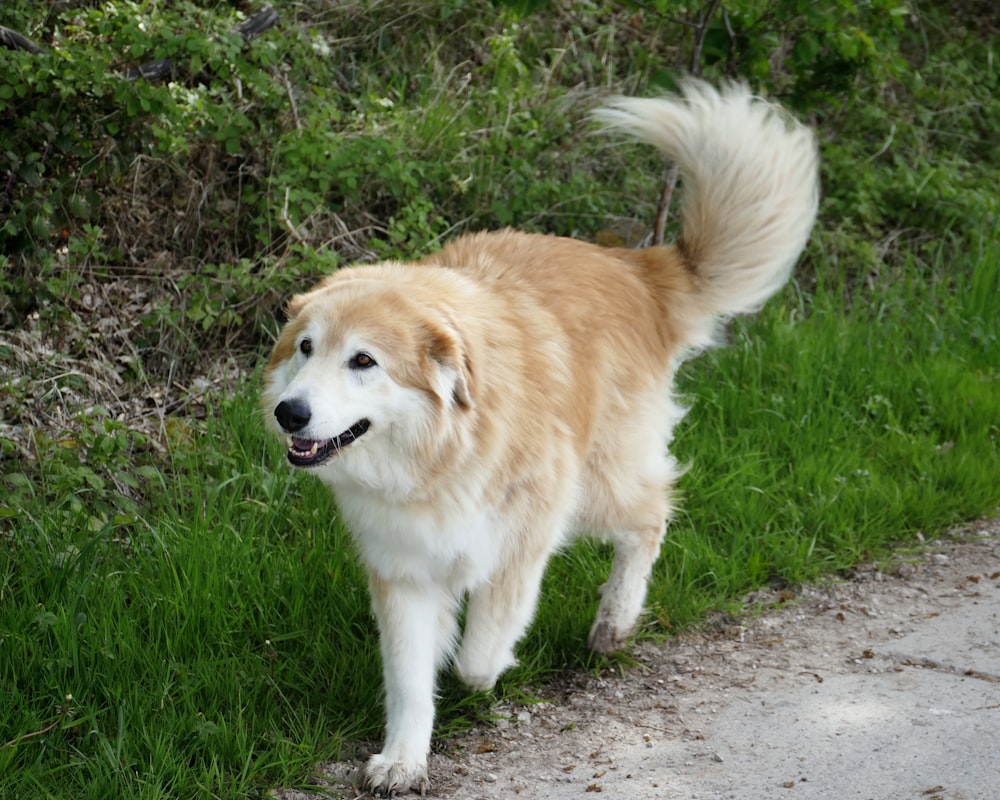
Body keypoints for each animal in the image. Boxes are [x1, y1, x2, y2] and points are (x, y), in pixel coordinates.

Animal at [264, 79, 820, 792]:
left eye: (364, 361)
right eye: (306, 349)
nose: (290, 414)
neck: (441, 455)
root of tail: (635, 267)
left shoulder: (519, 543)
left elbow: (478, 653)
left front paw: (492, 666)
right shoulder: (403, 573)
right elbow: (412, 681)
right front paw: (404, 759)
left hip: (597, 486)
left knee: (652, 514)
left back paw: (615, 620)